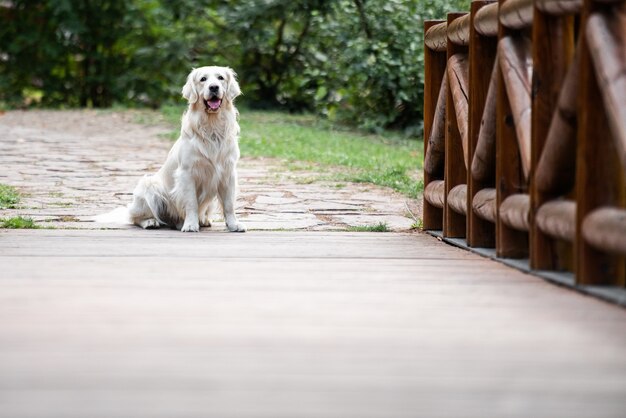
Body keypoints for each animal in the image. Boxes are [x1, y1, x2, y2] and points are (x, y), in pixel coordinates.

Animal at [128, 67, 245, 233]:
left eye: (220, 78)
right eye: (203, 79)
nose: (214, 87)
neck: (212, 127)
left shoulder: (228, 173)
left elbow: (229, 204)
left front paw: (234, 224)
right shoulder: (187, 173)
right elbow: (191, 203)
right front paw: (190, 224)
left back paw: (202, 220)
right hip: (149, 186)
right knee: (134, 217)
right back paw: (151, 222)